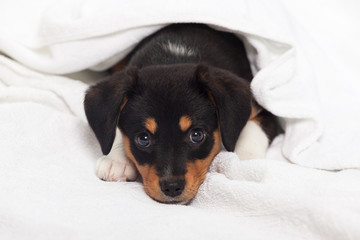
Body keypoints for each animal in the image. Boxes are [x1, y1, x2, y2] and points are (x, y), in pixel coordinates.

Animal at [84, 23, 282, 203]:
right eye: (143, 139)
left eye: (197, 135)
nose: (172, 187)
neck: (173, 57)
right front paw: (117, 161)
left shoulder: (263, 107)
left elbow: (251, 132)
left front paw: (243, 163)